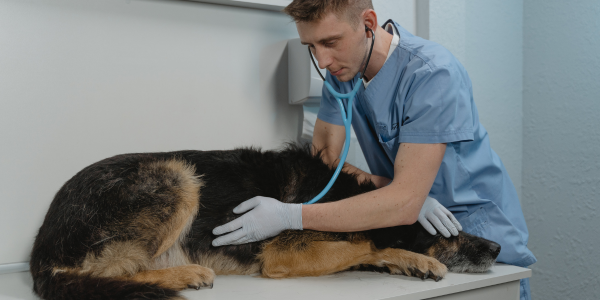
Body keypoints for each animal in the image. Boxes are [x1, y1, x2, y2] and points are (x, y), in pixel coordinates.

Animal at [30, 144, 500, 298]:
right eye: (450, 232)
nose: (496, 249)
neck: (346, 197)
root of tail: (41, 250)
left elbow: (366, 248)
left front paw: (410, 262)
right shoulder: (283, 254)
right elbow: (365, 242)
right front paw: (413, 256)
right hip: (178, 174)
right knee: (105, 272)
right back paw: (185, 275)